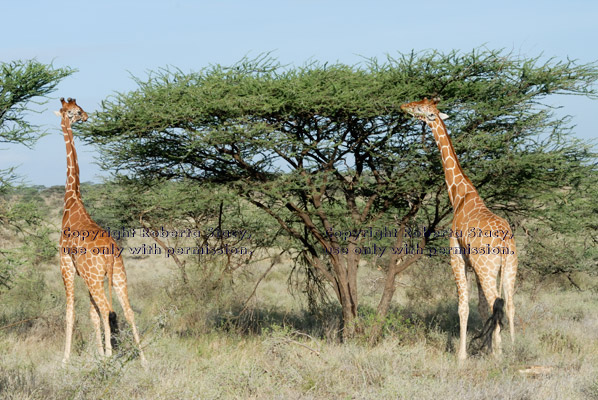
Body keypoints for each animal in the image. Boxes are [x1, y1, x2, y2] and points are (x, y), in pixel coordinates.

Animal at [55, 97, 146, 366]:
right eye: (76, 110)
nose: (86, 116)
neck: (72, 201)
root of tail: (110, 251)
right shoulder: (85, 275)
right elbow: (91, 312)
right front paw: (96, 352)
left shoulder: (66, 265)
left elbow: (71, 312)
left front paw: (66, 359)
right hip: (117, 274)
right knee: (126, 310)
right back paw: (144, 360)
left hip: (96, 277)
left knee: (107, 309)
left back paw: (109, 355)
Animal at [400, 98, 516, 360]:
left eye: (421, 109)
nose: (403, 106)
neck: (460, 196)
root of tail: (505, 242)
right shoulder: (474, 264)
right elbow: (481, 308)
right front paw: (485, 347)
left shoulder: (457, 256)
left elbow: (463, 307)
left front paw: (462, 356)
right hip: (509, 268)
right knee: (510, 304)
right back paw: (514, 348)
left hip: (489, 268)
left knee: (497, 303)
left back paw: (500, 355)